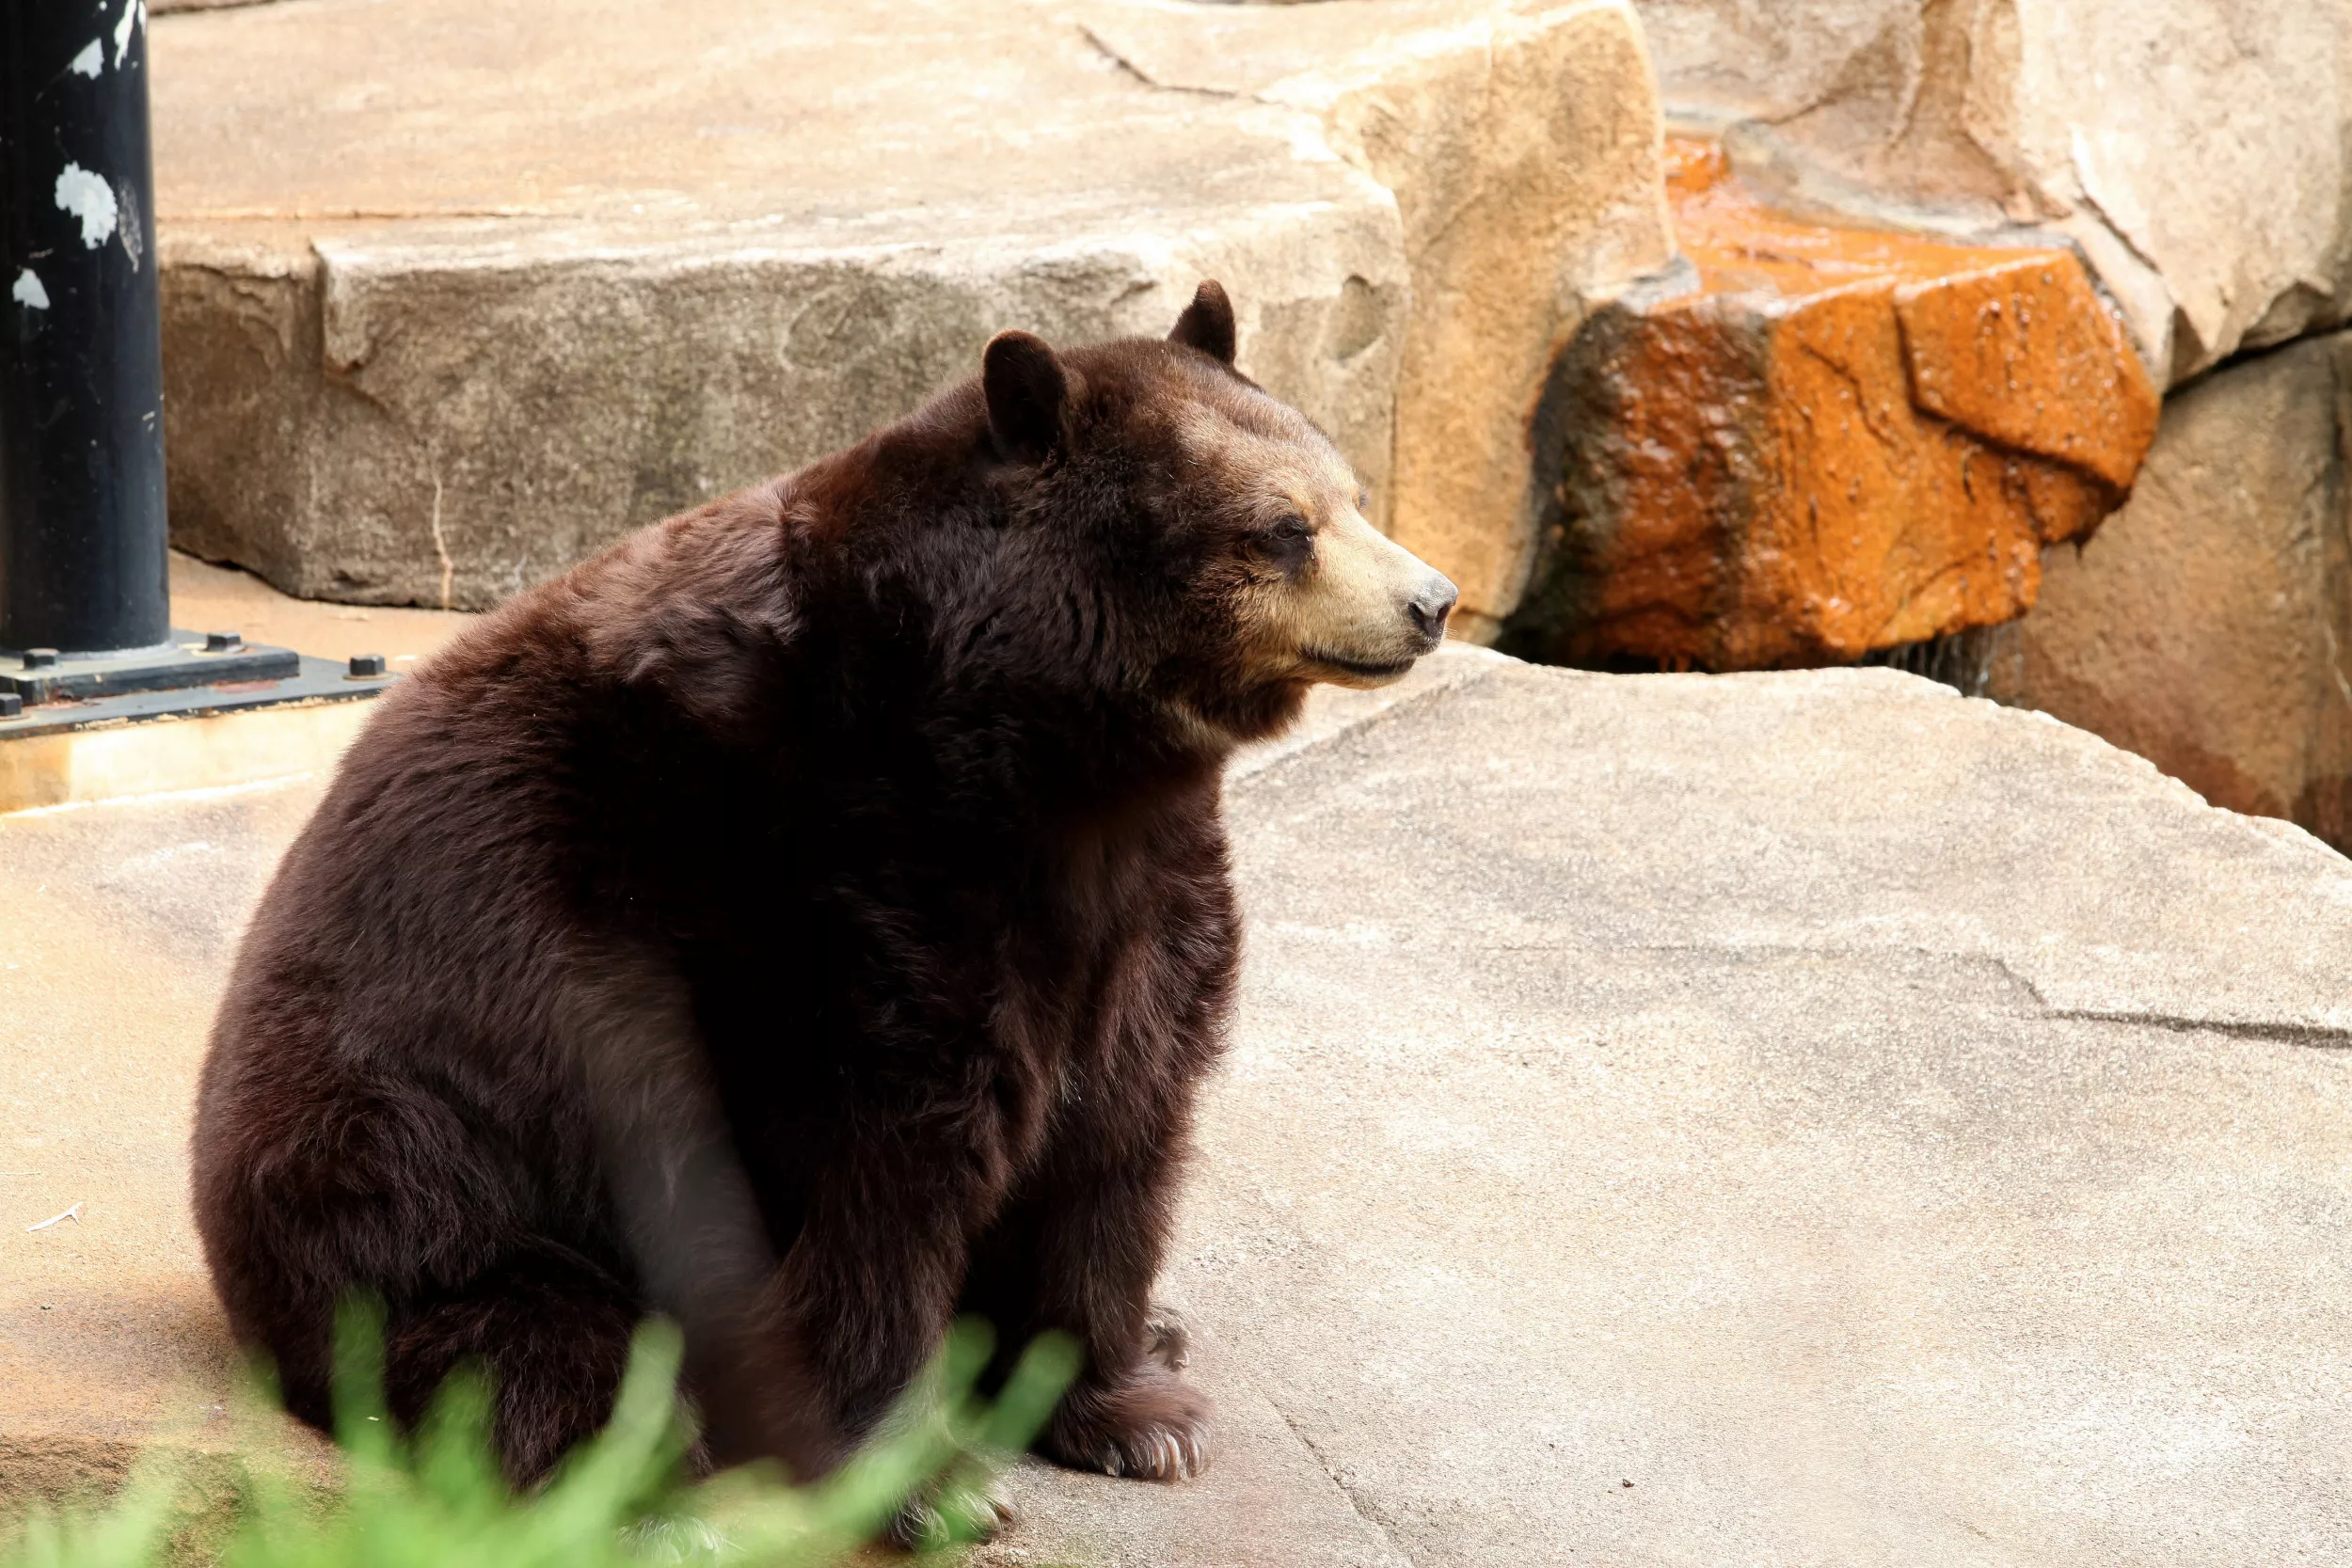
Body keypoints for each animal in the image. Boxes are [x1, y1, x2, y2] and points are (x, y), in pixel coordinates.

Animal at [190, 282, 1458, 1508]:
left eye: (1351, 492)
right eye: (1283, 527)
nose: (1433, 601)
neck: (1034, 742)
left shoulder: (1133, 887)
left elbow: (1119, 1122)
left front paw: (1131, 1408)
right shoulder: (818, 867)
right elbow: (870, 1165)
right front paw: (923, 1477)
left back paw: (1164, 1328)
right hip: (407, 1160)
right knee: (532, 1338)